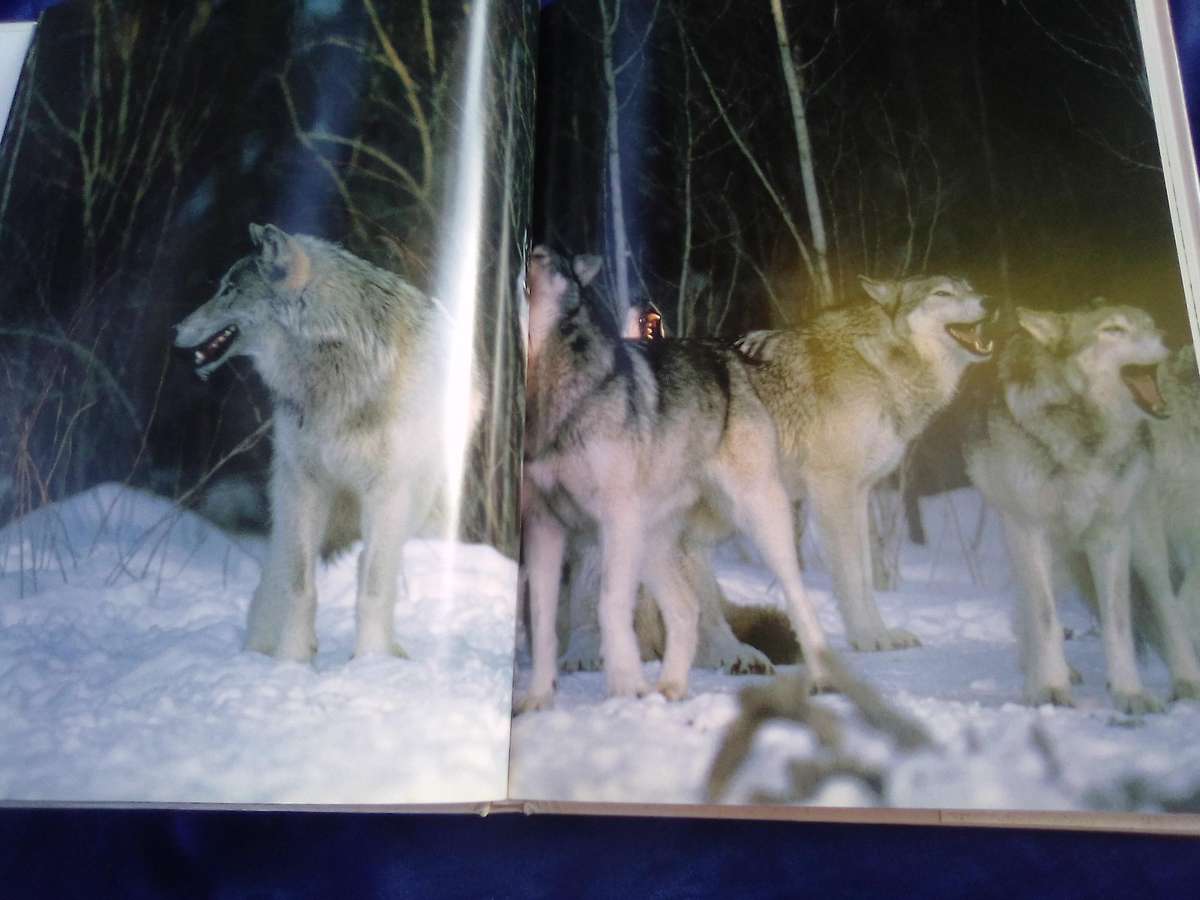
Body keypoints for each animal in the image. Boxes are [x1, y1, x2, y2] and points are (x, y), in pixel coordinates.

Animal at [174, 223, 481, 661]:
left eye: (230, 289)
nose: (176, 330)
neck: (335, 371)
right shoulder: (307, 486)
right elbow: (300, 585)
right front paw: (292, 660)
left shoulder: (387, 492)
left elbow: (373, 587)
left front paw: (370, 662)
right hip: (287, 497)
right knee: (279, 569)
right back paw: (260, 645)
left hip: (417, 503)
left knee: (374, 565)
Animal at [521, 246, 832, 709]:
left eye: (547, 259)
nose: (643, 297)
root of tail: (725, 353)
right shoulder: (546, 528)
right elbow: (549, 624)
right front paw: (540, 698)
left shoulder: (617, 521)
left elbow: (611, 606)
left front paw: (625, 688)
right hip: (654, 545)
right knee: (685, 610)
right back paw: (668, 688)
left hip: (757, 523)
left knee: (792, 601)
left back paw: (813, 677)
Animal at [735, 275, 995, 651]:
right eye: (942, 293)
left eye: (970, 287)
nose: (991, 301)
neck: (878, 366)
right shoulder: (834, 491)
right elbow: (850, 574)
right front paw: (866, 639)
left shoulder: (859, 493)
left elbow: (866, 575)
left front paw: (882, 635)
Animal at [965, 303, 1200, 712]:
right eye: (1113, 330)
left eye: (1150, 324)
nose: (1169, 335)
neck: (1083, 432)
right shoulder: (1029, 531)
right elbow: (1044, 618)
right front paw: (1050, 689)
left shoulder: (1110, 536)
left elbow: (1119, 620)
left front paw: (1130, 694)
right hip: (1041, 548)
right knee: (1027, 609)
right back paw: (1037, 678)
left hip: (1144, 546)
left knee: (1167, 603)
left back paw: (1187, 681)